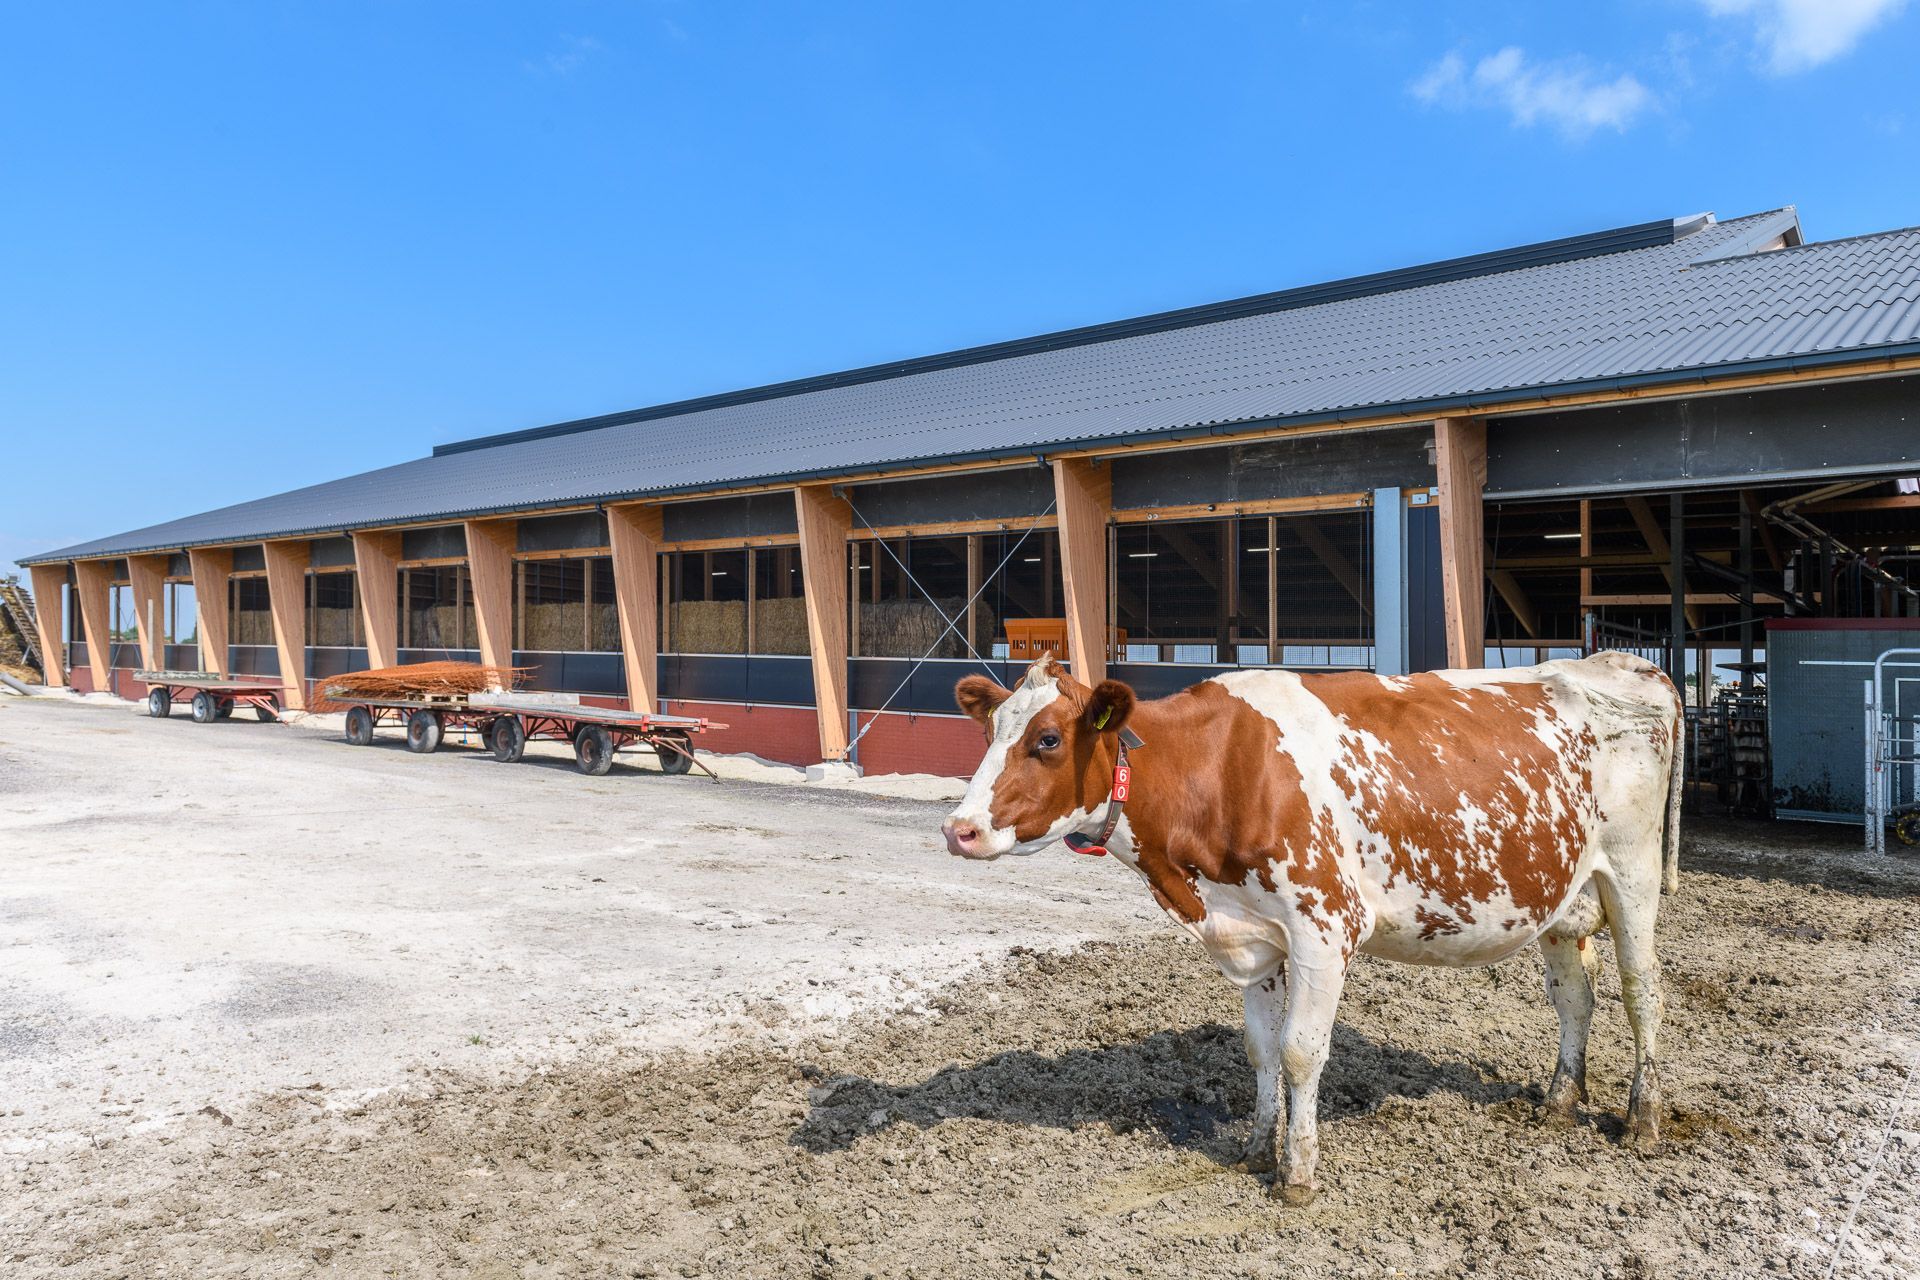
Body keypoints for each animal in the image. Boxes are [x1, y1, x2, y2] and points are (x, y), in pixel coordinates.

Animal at [941, 652, 1682, 1204]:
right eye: (989, 733)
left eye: (1046, 740)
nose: (959, 829)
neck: (1221, 768)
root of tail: (1623, 663)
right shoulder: (1250, 933)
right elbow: (1260, 1050)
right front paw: (1254, 1149)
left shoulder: (1325, 927)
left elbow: (1301, 1051)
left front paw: (1297, 1174)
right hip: (1561, 895)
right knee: (1575, 997)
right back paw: (1559, 1100)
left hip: (1633, 870)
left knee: (1643, 989)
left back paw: (1643, 1119)